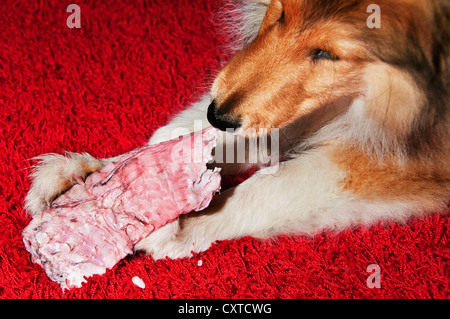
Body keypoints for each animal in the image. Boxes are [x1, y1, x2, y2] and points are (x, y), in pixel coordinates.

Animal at [25, 0, 450, 260]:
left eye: (328, 53)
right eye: (281, 12)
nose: (217, 113)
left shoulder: (402, 157)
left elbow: (274, 188)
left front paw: (175, 226)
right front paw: (94, 172)